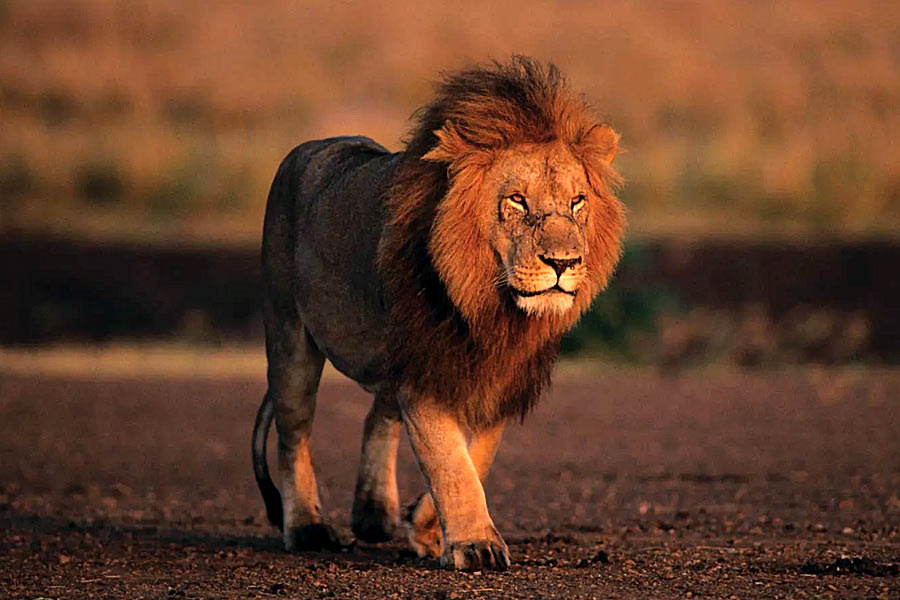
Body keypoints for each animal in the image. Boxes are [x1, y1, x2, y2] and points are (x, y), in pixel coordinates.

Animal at [251, 56, 625, 570]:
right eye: (517, 200)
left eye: (577, 202)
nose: (563, 263)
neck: (491, 307)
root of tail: (310, 147)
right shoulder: (426, 365)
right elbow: (450, 461)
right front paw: (476, 544)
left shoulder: (496, 375)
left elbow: (475, 457)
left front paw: (427, 527)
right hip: (289, 335)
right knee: (294, 433)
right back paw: (307, 528)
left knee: (377, 415)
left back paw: (375, 516)